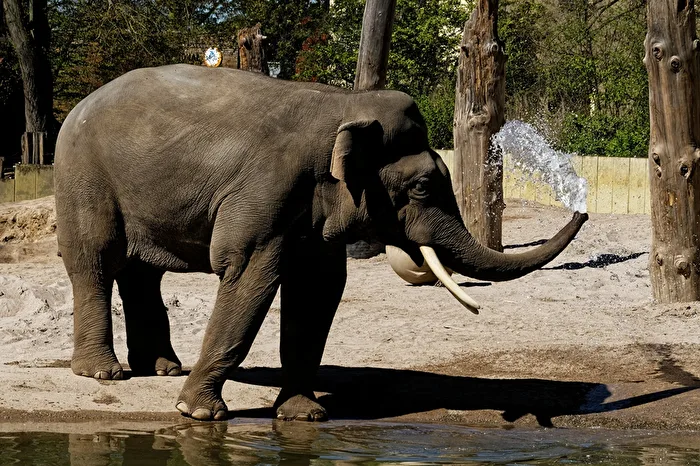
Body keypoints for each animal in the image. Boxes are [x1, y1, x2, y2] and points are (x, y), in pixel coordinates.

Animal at [54, 64, 588, 422]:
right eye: (420, 188)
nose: (581, 205)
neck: (346, 106)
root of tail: (78, 106)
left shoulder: (315, 205)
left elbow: (319, 290)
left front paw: (304, 416)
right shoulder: (266, 191)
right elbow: (249, 276)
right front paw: (198, 414)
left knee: (142, 273)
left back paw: (161, 369)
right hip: (83, 177)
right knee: (95, 262)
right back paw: (104, 374)